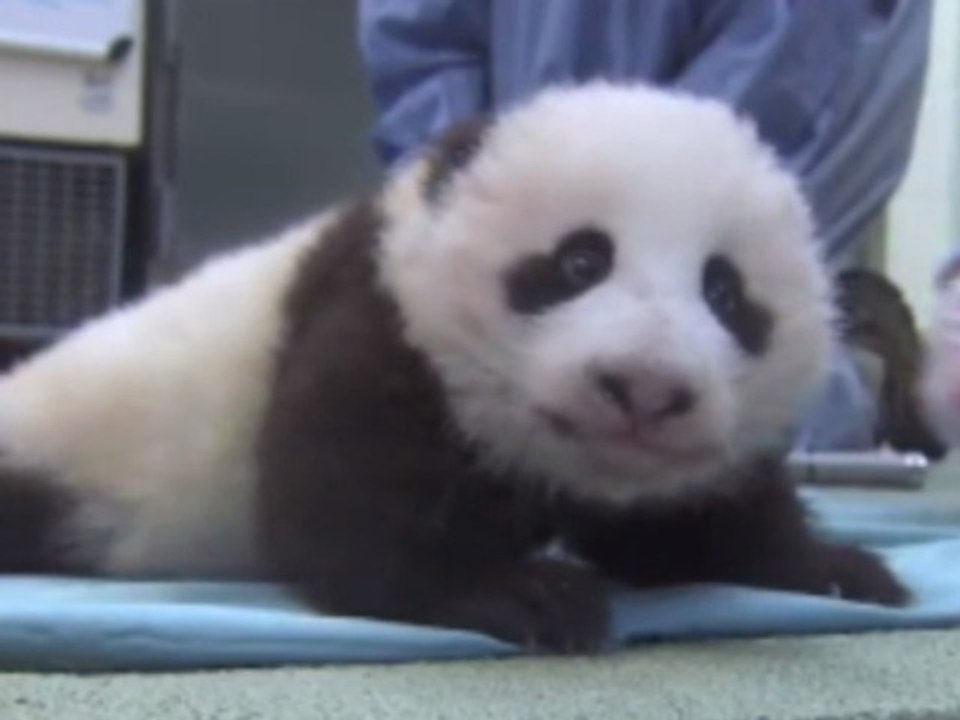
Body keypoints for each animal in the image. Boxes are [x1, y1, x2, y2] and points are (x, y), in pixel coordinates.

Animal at [0, 81, 908, 653]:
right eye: (579, 261)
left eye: (725, 292)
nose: (645, 388)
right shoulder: (377, 318)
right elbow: (343, 500)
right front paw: (521, 592)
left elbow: (687, 525)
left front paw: (835, 571)